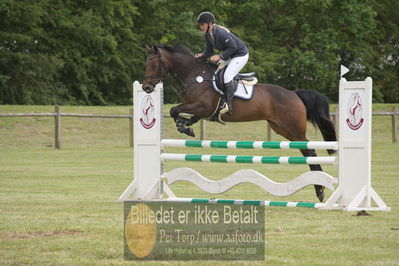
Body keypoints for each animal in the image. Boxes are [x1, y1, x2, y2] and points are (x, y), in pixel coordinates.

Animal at [142, 44, 336, 202]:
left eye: (154, 64)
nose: (146, 88)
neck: (194, 76)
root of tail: (295, 94)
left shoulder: (202, 107)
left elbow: (174, 111)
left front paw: (184, 127)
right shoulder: (200, 110)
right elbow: (179, 113)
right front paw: (186, 125)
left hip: (293, 129)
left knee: (310, 151)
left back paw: (320, 190)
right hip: (282, 129)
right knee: (306, 151)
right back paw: (319, 188)